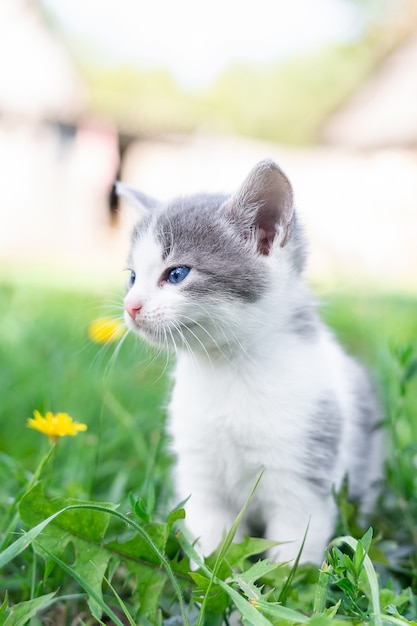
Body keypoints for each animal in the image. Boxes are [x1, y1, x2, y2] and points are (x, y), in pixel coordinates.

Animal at [116, 160, 380, 560]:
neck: (228, 370)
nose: (131, 306)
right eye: (132, 278)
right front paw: (208, 571)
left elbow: (294, 547)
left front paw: (286, 576)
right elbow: (211, 538)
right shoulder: (200, 473)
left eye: (177, 274)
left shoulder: (304, 474)